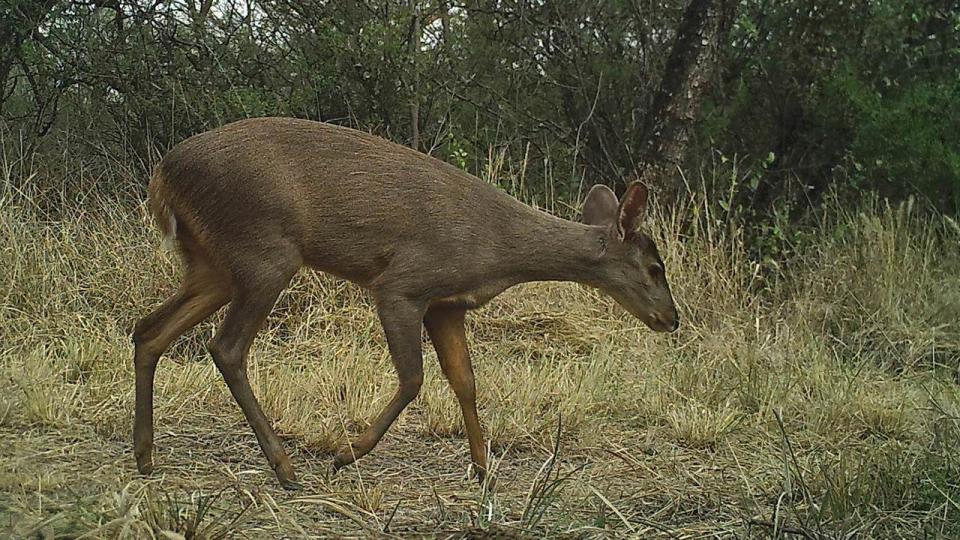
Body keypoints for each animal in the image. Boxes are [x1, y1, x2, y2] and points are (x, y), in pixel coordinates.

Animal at [131, 117, 680, 490]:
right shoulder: (403, 284)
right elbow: (414, 378)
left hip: (214, 265)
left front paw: (483, 469)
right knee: (225, 347)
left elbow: (465, 382)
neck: (498, 251)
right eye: (656, 267)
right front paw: (345, 453)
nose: (671, 319)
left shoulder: (447, 304)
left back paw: (145, 456)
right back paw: (285, 468)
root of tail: (163, 175)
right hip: (265, 250)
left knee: (148, 329)